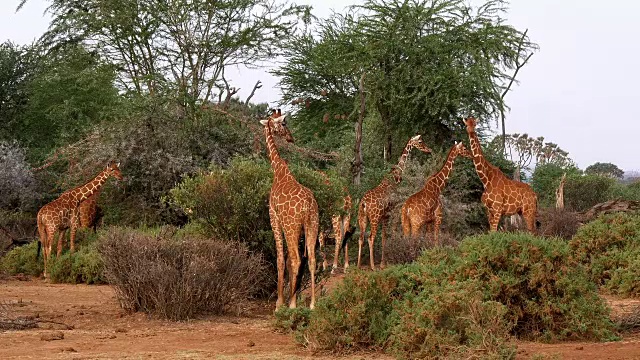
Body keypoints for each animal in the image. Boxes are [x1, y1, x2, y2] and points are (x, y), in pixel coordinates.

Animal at [260, 108, 320, 308]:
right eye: (284, 123)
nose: (290, 138)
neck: (278, 170)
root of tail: (307, 205)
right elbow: (287, 259)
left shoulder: (274, 217)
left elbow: (280, 259)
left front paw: (279, 303)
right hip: (312, 224)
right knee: (311, 258)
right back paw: (312, 305)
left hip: (291, 226)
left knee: (295, 258)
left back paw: (292, 304)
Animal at [358, 135, 432, 270]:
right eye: (420, 141)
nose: (429, 149)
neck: (396, 177)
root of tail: (363, 204)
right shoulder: (391, 212)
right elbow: (389, 234)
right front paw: (385, 263)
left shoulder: (384, 215)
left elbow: (383, 237)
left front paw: (383, 263)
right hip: (374, 218)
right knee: (370, 238)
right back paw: (373, 266)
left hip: (362, 218)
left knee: (360, 238)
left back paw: (358, 265)